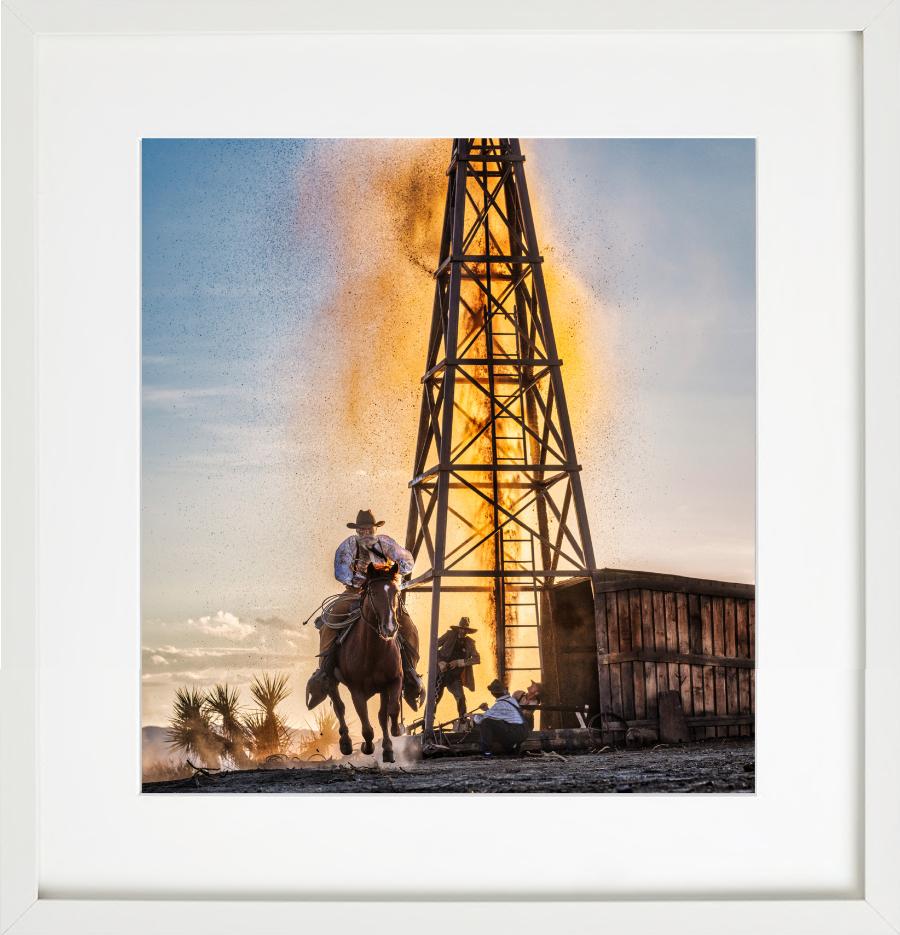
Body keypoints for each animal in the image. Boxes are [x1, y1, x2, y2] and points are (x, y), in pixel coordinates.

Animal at [328, 564, 402, 760]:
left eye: (395, 592)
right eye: (374, 593)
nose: (390, 628)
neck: (373, 652)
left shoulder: (393, 681)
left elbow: (390, 711)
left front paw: (394, 735)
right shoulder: (357, 690)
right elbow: (367, 729)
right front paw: (366, 747)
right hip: (331, 681)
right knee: (339, 707)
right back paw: (346, 744)